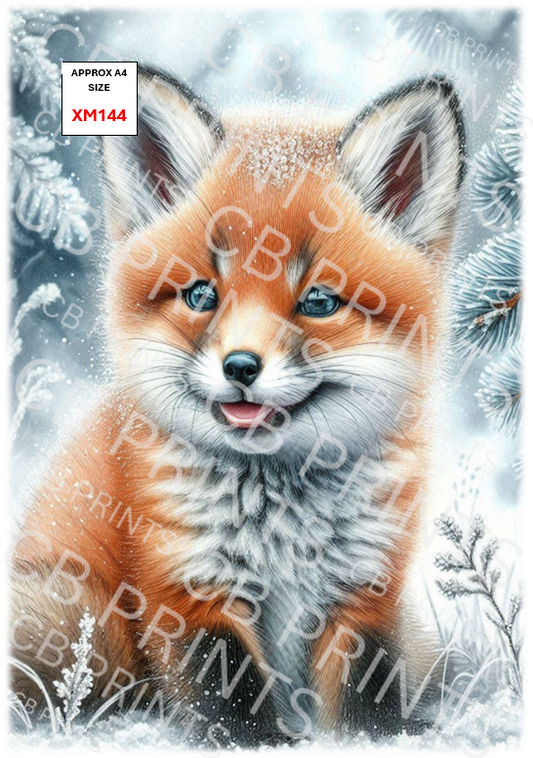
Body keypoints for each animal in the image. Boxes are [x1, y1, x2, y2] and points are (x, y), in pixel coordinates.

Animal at [11, 65, 465, 746]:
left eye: (319, 302)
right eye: (202, 294)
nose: (241, 367)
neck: (281, 521)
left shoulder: (365, 590)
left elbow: (369, 699)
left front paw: (375, 738)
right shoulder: (186, 588)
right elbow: (233, 703)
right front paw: (271, 742)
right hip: (87, 627)